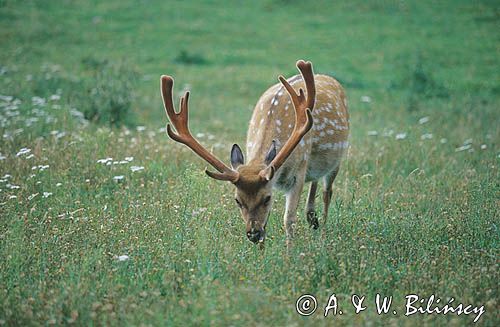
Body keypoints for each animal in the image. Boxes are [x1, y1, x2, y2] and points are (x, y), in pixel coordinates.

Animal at [160, 60, 348, 246]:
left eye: (267, 198)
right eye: (237, 200)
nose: (253, 234)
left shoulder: (299, 171)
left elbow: (289, 220)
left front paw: (290, 252)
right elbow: (266, 223)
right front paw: (262, 250)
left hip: (338, 157)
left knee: (327, 193)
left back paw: (322, 234)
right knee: (315, 182)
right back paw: (312, 219)